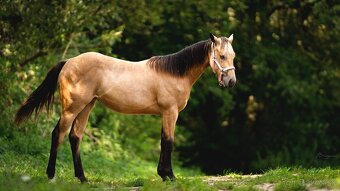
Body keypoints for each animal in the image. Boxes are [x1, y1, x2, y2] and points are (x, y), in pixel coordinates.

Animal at [13, 33, 236, 182]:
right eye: (221, 56)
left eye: (233, 56)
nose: (231, 82)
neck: (175, 72)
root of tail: (69, 62)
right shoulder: (170, 112)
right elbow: (168, 142)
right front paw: (169, 176)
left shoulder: (166, 114)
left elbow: (163, 141)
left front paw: (163, 174)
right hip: (72, 108)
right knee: (58, 134)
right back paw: (51, 175)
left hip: (87, 106)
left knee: (75, 137)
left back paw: (83, 178)